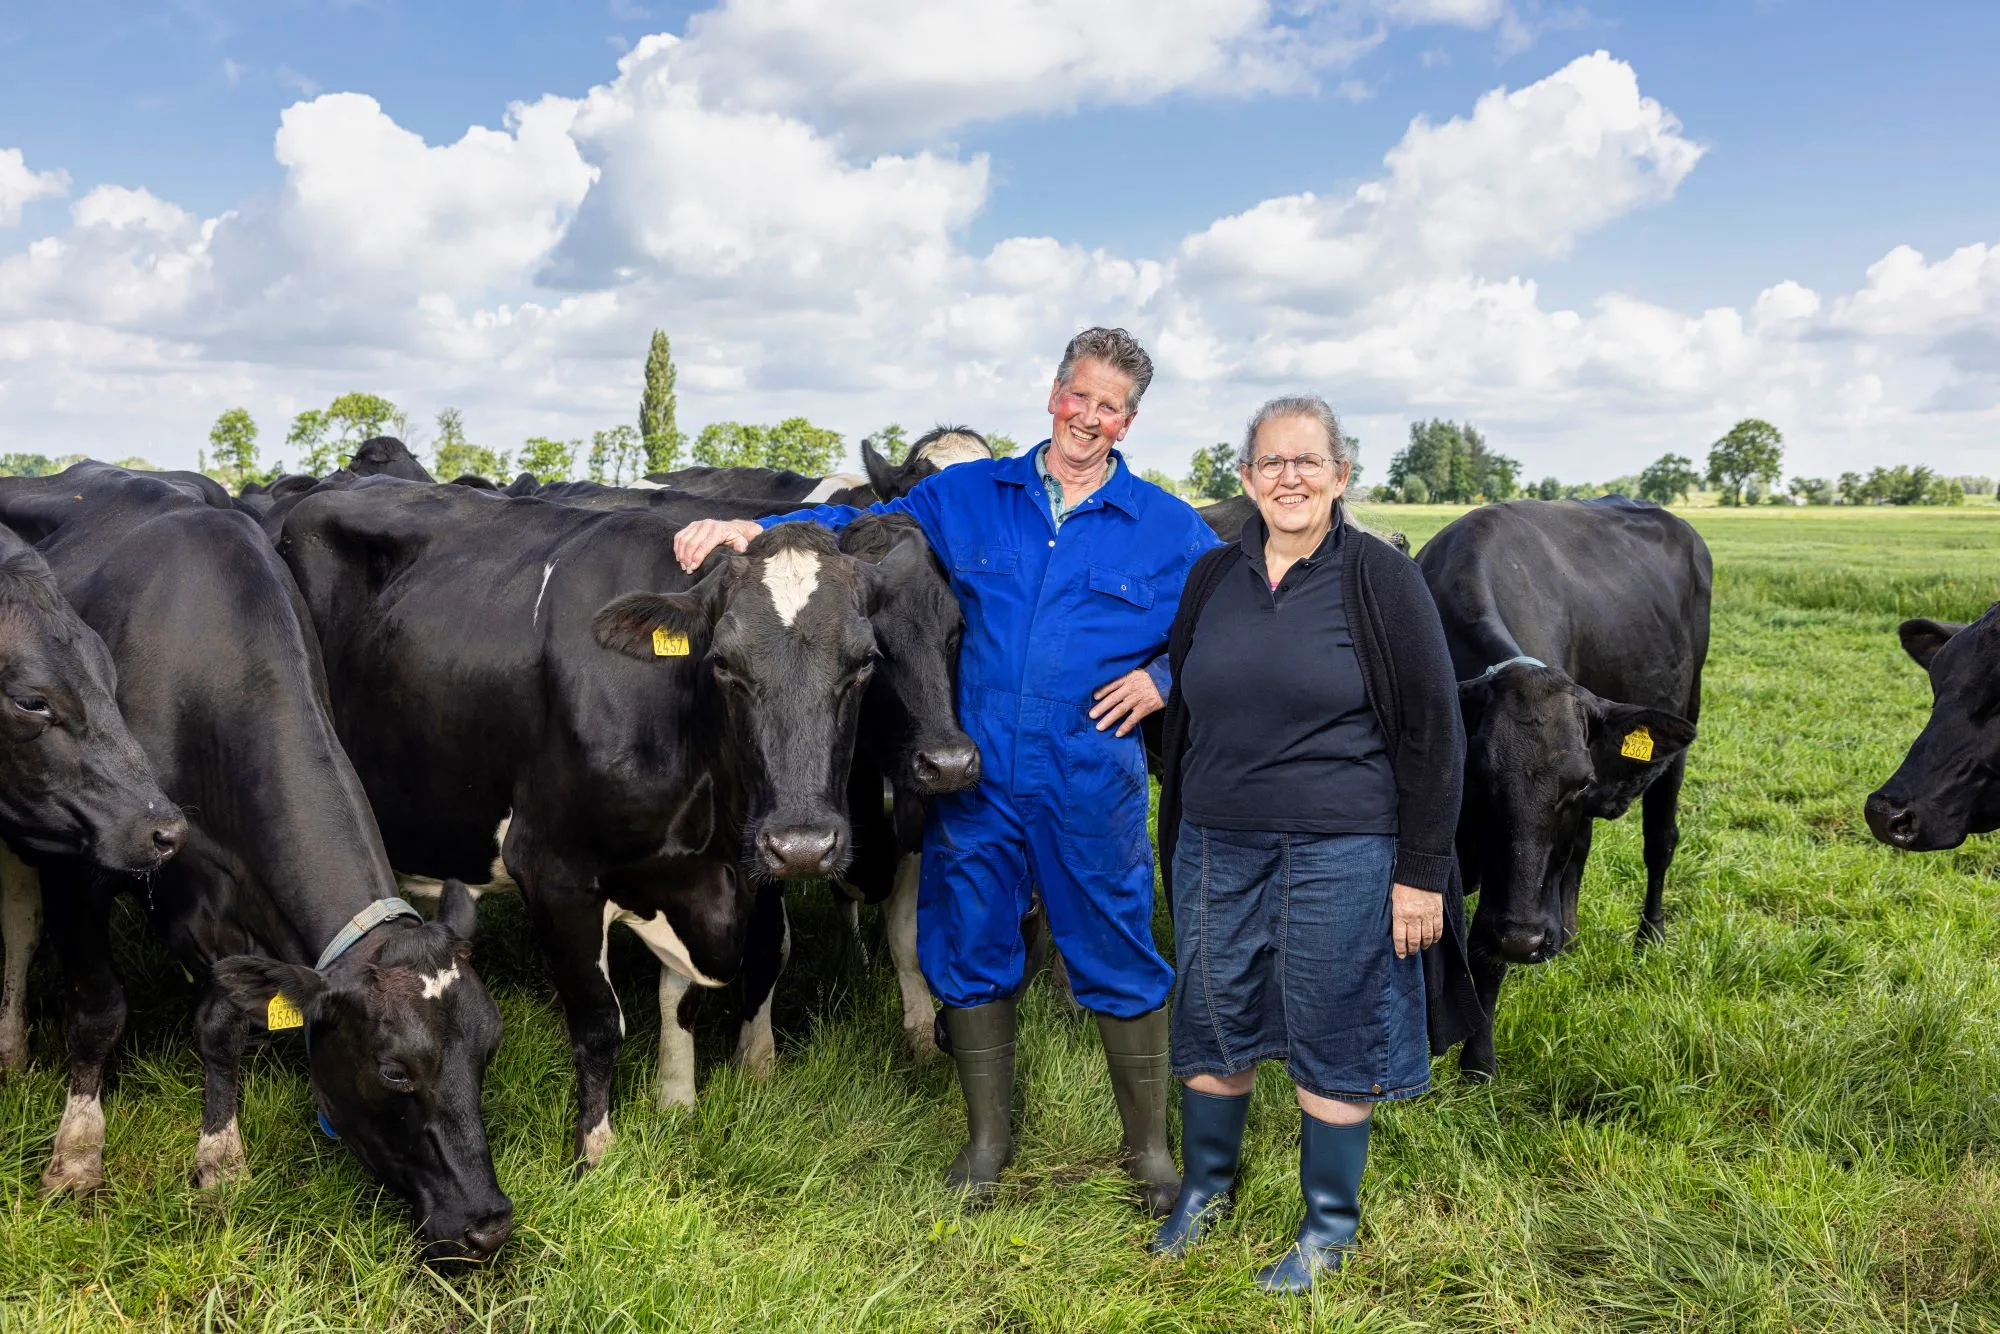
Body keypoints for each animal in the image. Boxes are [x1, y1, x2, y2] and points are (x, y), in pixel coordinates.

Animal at [0, 468, 512, 1264]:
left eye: (488, 1049)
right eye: (394, 1070)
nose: (487, 1224)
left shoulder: (231, 910)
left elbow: (223, 1022)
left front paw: (220, 1156)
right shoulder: (82, 863)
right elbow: (99, 1010)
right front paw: (78, 1153)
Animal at [272, 482, 920, 1168]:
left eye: (864, 664)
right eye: (723, 664)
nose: (800, 846)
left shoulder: (697, 881)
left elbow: (681, 1003)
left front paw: (677, 1107)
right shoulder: (556, 874)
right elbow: (600, 1025)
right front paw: (596, 1152)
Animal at [1416, 496, 1712, 1080]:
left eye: (1579, 783)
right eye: (1476, 779)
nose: (1525, 939)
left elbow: (1483, 954)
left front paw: (1478, 1063)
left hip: (1684, 724)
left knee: (1660, 843)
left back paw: (1649, 937)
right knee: (1581, 849)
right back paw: (1570, 937)